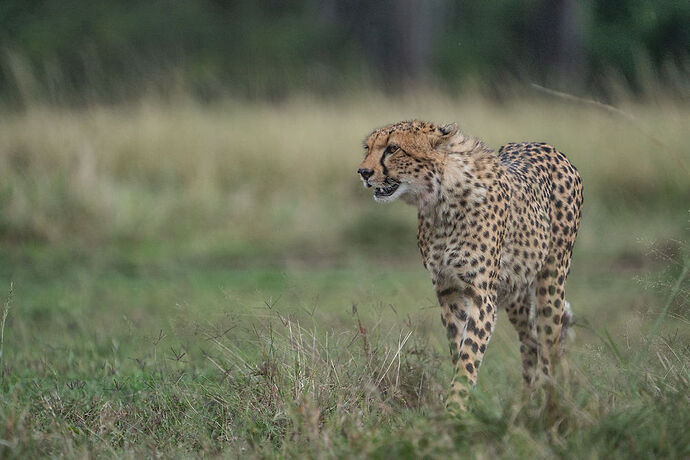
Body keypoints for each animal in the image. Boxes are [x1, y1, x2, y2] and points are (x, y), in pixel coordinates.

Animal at [354, 119, 580, 410]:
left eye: (393, 148)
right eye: (368, 148)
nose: (364, 172)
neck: (440, 200)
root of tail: (542, 144)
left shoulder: (481, 295)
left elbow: (469, 353)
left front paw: (455, 409)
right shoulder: (448, 290)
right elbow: (458, 348)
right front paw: (466, 403)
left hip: (550, 281)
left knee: (550, 343)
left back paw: (549, 403)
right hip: (515, 290)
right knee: (529, 341)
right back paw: (527, 401)